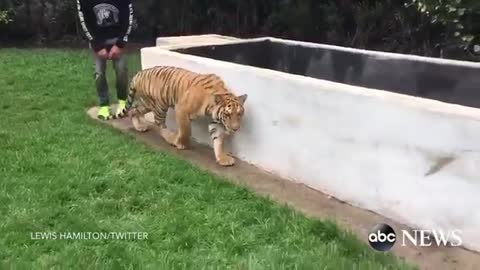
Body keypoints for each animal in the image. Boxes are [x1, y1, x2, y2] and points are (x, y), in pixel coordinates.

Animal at [109, 66, 248, 167]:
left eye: (239, 114)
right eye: (228, 114)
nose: (235, 128)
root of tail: (139, 73)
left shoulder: (216, 121)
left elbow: (218, 139)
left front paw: (222, 158)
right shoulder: (181, 109)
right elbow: (186, 130)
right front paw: (181, 144)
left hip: (147, 104)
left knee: (133, 110)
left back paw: (139, 127)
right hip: (159, 105)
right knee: (160, 124)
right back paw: (171, 138)